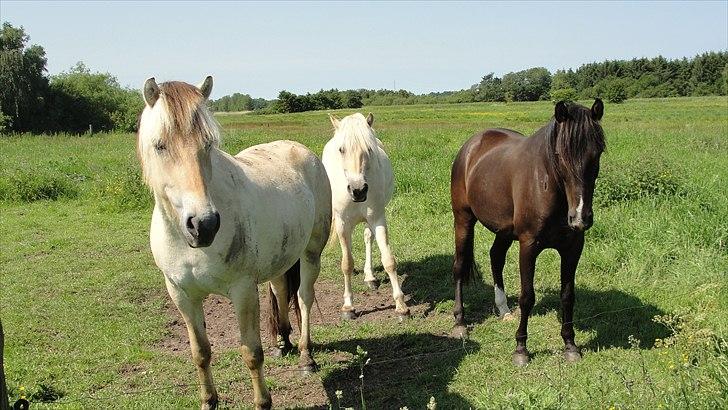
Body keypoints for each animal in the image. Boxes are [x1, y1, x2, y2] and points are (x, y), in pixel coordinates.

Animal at [137, 76, 331, 409]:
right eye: (160, 145)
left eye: (207, 144)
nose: (204, 225)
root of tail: (299, 150)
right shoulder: (181, 295)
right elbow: (200, 352)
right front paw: (208, 401)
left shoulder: (242, 291)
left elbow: (251, 353)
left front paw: (263, 402)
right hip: (280, 257)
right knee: (281, 290)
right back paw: (283, 341)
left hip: (311, 253)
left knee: (304, 298)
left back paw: (306, 357)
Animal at [322, 113, 410, 321]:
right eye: (341, 149)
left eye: (369, 149)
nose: (358, 190)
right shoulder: (342, 223)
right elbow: (346, 263)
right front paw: (348, 307)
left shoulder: (377, 218)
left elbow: (389, 260)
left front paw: (401, 306)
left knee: (368, 238)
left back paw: (369, 277)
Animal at [450, 99, 605, 366]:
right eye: (560, 156)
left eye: (597, 154)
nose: (580, 217)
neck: (548, 186)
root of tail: (472, 145)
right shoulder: (528, 245)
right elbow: (527, 297)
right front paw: (521, 349)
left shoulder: (573, 247)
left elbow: (568, 295)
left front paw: (570, 345)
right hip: (463, 219)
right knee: (460, 266)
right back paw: (460, 322)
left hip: (503, 230)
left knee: (496, 258)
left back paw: (503, 310)